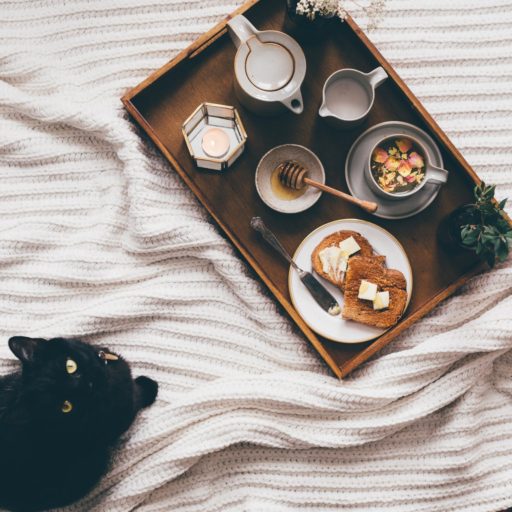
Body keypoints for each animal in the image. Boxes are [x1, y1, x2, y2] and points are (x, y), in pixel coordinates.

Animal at [0, 336, 158, 512]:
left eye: (70, 366)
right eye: (66, 406)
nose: (90, 385)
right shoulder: (123, 414)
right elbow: (137, 397)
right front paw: (149, 387)